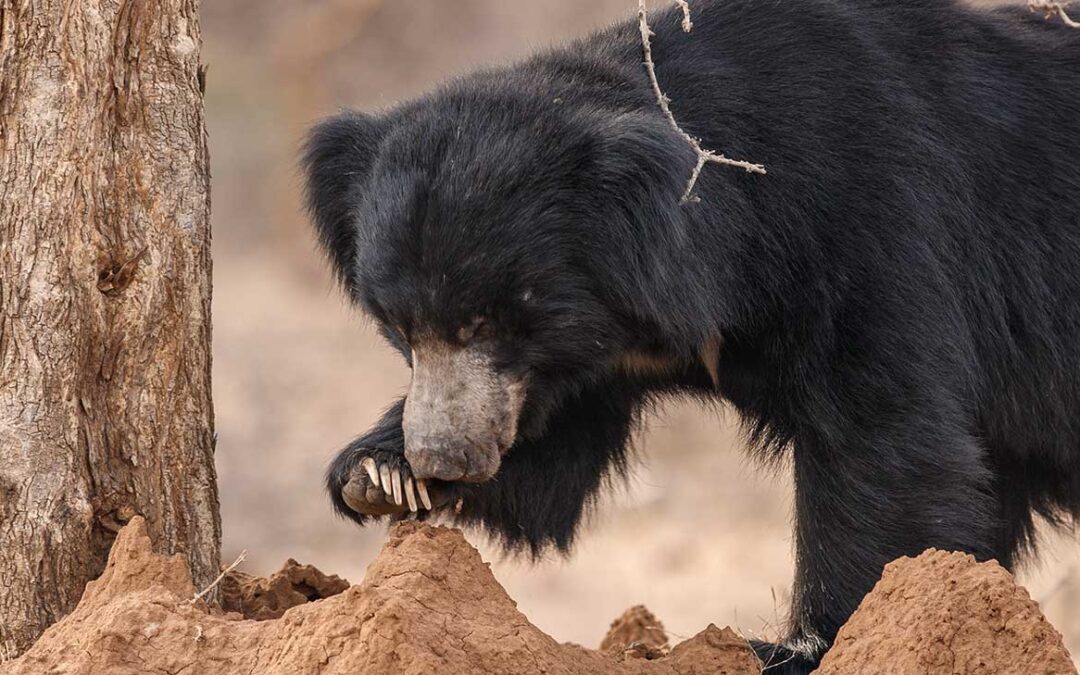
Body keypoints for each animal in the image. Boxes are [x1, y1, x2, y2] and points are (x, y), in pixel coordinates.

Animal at [304, 2, 1080, 669]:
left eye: (488, 320)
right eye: (400, 327)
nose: (444, 456)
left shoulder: (871, 228)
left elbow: (885, 437)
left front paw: (808, 645)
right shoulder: (593, 354)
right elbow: (550, 454)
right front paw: (378, 476)